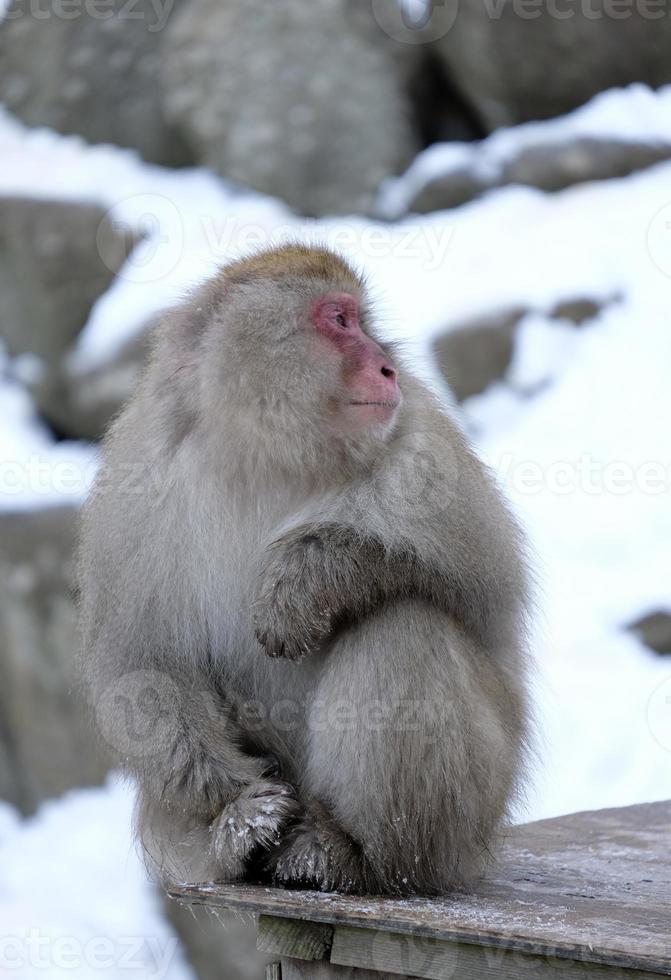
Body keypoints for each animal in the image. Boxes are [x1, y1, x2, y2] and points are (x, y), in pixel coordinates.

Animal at [79, 245, 532, 896]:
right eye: (340, 321)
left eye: (362, 321)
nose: (388, 368)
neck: (264, 452)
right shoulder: (136, 477)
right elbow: (141, 664)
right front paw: (242, 808)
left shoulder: (422, 447)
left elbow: (491, 591)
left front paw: (303, 579)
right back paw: (240, 846)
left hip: (477, 809)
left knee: (403, 624)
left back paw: (360, 856)